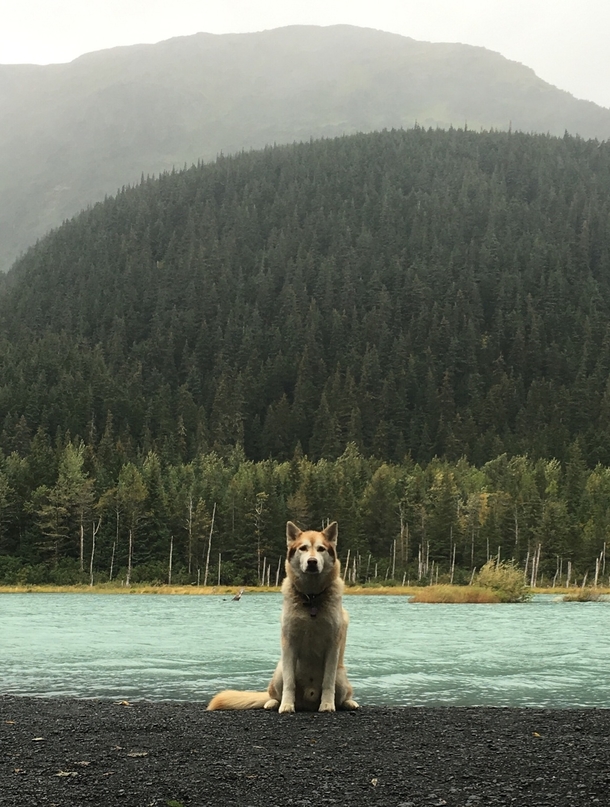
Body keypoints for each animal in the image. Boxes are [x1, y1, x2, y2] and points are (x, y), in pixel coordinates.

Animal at [207, 516, 356, 712]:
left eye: (321, 549)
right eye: (303, 548)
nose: (312, 562)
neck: (311, 598)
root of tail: (308, 700)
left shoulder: (332, 646)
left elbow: (328, 683)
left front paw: (327, 705)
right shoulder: (289, 644)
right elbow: (289, 683)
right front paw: (286, 705)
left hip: (341, 676)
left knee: (343, 694)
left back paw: (348, 703)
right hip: (279, 671)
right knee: (273, 693)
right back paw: (272, 703)